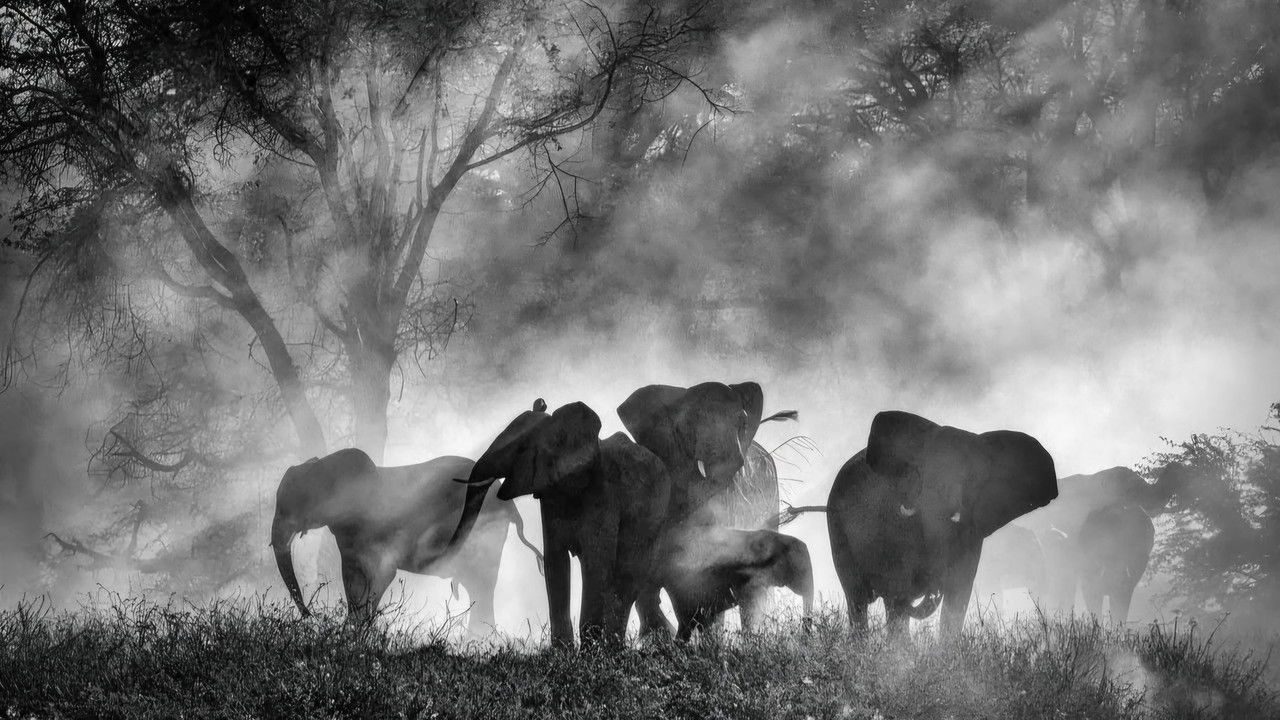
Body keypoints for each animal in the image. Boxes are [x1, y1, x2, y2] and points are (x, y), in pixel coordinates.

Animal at [270, 448, 542, 632]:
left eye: (292, 506)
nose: (311, 616)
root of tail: (511, 508)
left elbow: (380, 575)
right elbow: (353, 579)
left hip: (484, 533)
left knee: (482, 585)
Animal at [452, 399, 671, 648]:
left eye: (521, 449)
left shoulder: (604, 494)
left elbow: (596, 562)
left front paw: (590, 652)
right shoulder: (550, 495)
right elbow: (555, 562)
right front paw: (562, 651)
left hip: (654, 519)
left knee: (628, 576)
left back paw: (613, 648)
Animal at [826, 410, 1059, 638]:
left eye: (971, 479)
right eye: (923, 472)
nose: (934, 587)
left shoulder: (971, 532)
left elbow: (958, 593)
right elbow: (898, 590)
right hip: (837, 529)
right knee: (858, 600)